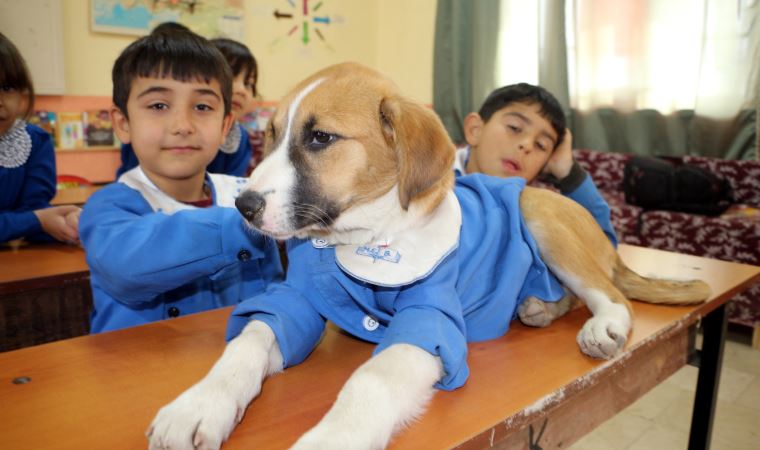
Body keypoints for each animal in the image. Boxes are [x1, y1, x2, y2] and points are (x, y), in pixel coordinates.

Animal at [148, 63, 712, 450]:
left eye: (321, 137)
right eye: (269, 136)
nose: (243, 206)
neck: (358, 235)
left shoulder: (429, 319)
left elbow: (371, 379)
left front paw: (331, 437)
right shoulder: (296, 300)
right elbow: (245, 344)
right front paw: (198, 405)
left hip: (536, 210)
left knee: (611, 295)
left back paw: (600, 326)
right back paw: (537, 307)